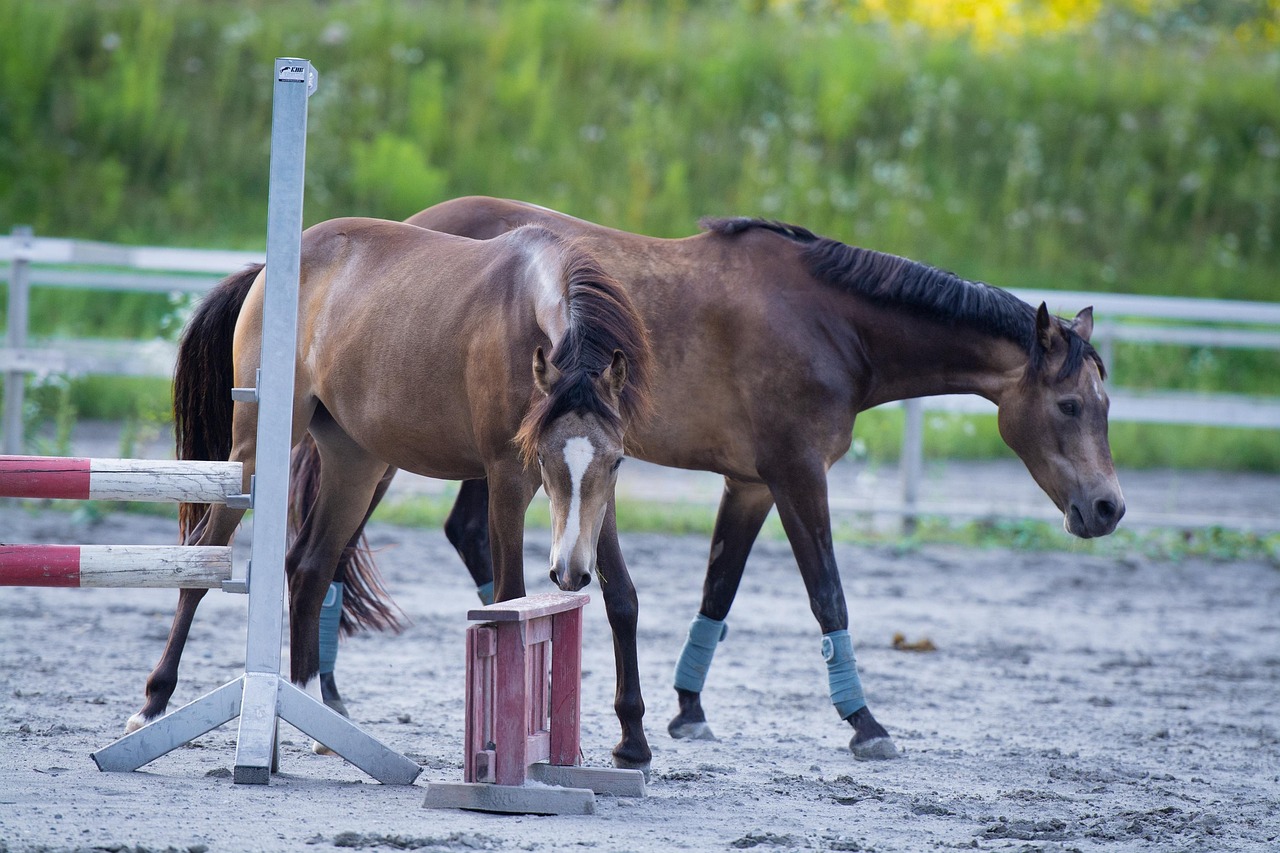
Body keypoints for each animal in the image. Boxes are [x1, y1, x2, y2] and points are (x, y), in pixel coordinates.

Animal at [125, 217, 652, 753]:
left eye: (616, 462)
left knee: (309, 568)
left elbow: (620, 594)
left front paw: (631, 743)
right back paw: (152, 705)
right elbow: (509, 599)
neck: (525, 312)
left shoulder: (595, 503)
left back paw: (312, 712)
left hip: (355, 466)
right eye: (543, 458)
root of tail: (266, 271)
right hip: (253, 455)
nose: (569, 572)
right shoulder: (506, 480)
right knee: (201, 557)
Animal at [298, 198, 1126, 769]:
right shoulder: (797, 474)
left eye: (1107, 404)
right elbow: (827, 592)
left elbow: (718, 593)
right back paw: (328, 690)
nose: (1107, 507)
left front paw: (686, 709)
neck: (829, 322)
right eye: (1070, 404)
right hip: (398, 446)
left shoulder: (751, 484)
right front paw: (865, 721)